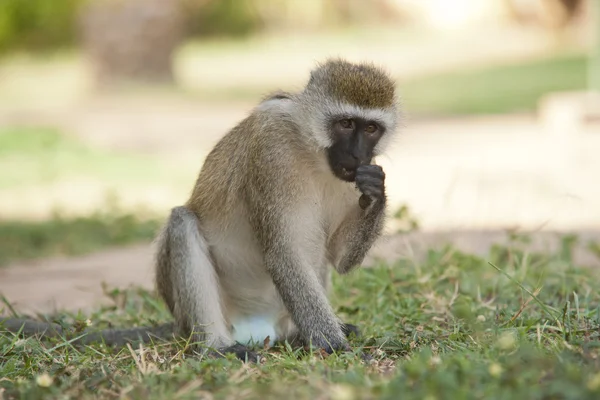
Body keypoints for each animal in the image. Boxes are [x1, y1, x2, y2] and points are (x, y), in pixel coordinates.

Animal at [1, 57, 404, 360]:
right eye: (346, 124)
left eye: (371, 129)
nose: (357, 155)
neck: (312, 150)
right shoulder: (270, 149)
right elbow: (284, 253)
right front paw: (335, 347)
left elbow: (338, 258)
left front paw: (377, 191)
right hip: (204, 315)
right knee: (183, 222)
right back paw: (217, 347)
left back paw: (297, 336)